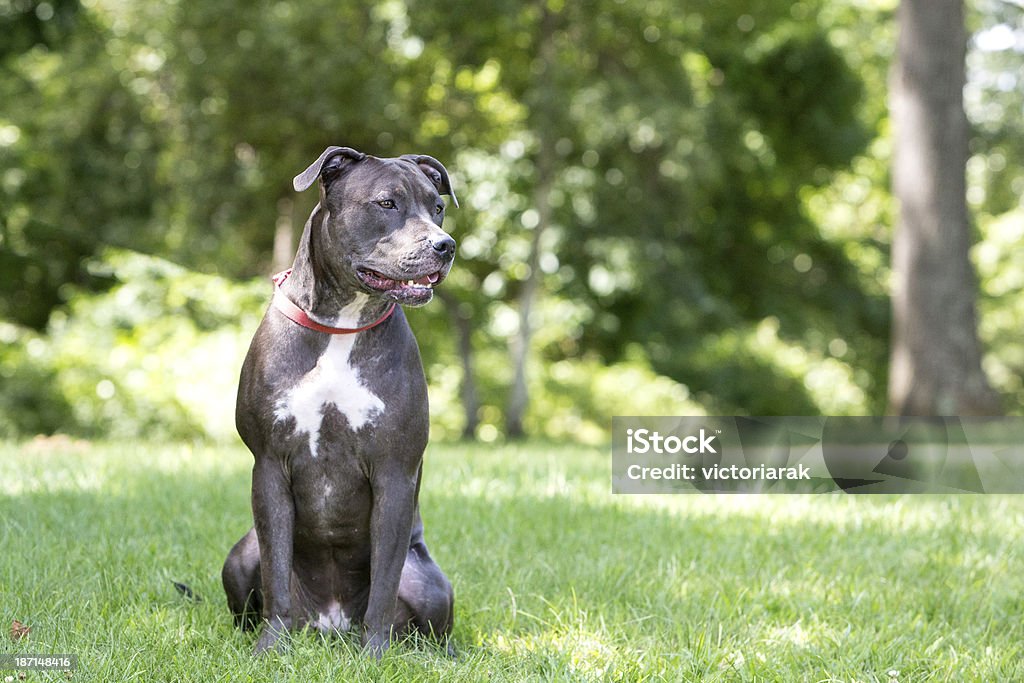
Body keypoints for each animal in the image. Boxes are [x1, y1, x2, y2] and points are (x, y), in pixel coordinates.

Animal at [228, 145, 460, 655]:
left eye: (437, 206)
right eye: (387, 203)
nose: (445, 245)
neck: (342, 323)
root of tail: (330, 623)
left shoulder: (395, 472)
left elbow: (385, 581)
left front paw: (375, 656)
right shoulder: (269, 465)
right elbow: (276, 572)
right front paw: (270, 650)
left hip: (431, 584)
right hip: (239, 556)